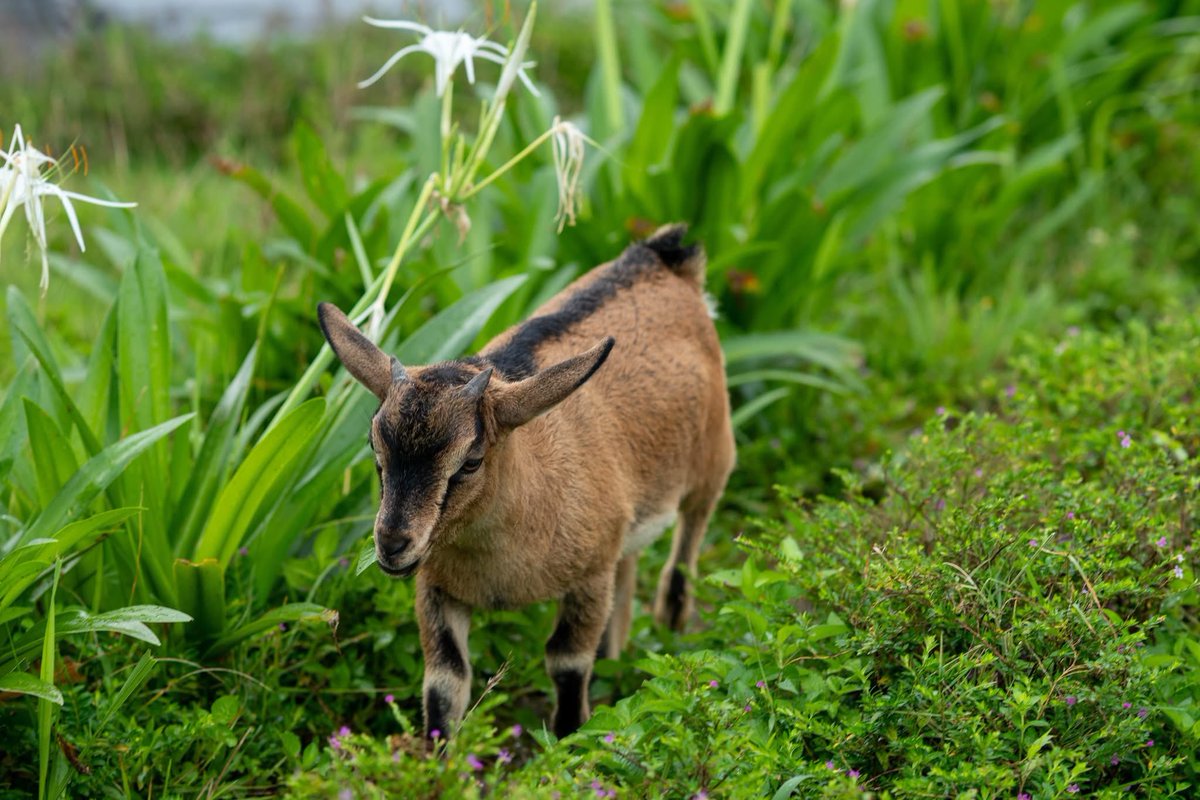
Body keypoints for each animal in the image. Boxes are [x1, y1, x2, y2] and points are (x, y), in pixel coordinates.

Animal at [317, 224, 735, 739]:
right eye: (374, 446)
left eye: (471, 461)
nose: (393, 544)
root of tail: (665, 257)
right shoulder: (436, 588)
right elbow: (444, 682)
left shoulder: (588, 578)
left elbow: (568, 665)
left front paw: (571, 741)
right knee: (629, 569)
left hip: (713, 464)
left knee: (682, 559)